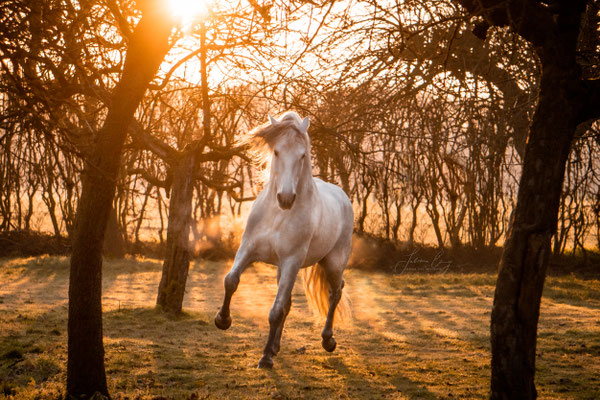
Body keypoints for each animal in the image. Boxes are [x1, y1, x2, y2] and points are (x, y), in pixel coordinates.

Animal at [216, 111, 354, 368]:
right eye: (277, 152)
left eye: (303, 155)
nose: (286, 198)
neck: (278, 215)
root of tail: (342, 196)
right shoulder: (248, 249)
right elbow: (231, 280)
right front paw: (222, 320)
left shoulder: (292, 261)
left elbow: (276, 309)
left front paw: (265, 358)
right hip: (285, 268)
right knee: (291, 302)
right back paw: (276, 347)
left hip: (332, 263)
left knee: (335, 294)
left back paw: (327, 340)